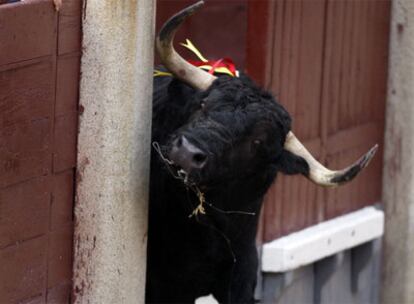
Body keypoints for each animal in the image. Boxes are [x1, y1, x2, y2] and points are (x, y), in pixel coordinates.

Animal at [144, 2, 376, 304]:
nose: (187, 152)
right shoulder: (164, 288)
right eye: (203, 104)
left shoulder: (240, 283)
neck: (212, 234)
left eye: (257, 141)